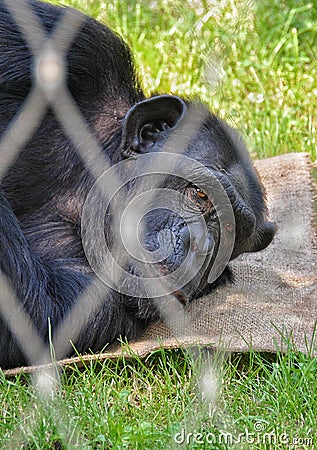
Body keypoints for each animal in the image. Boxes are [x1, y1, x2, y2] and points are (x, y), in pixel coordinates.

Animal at [0, 0, 274, 370]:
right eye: (201, 194)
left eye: (231, 234)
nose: (200, 245)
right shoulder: (73, 46)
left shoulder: (94, 305)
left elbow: (32, 309)